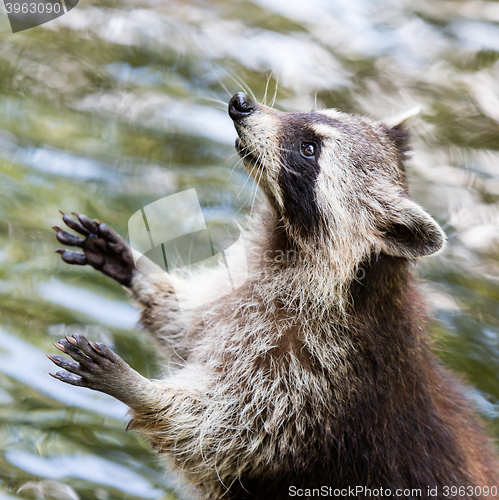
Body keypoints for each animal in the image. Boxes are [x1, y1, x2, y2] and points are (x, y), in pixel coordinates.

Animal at [50, 94, 499, 500]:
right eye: (310, 113)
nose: (241, 103)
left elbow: (225, 435)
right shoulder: (242, 303)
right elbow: (186, 327)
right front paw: (137, 268)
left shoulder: (319, 372)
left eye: (310, 148)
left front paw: (140, 390)